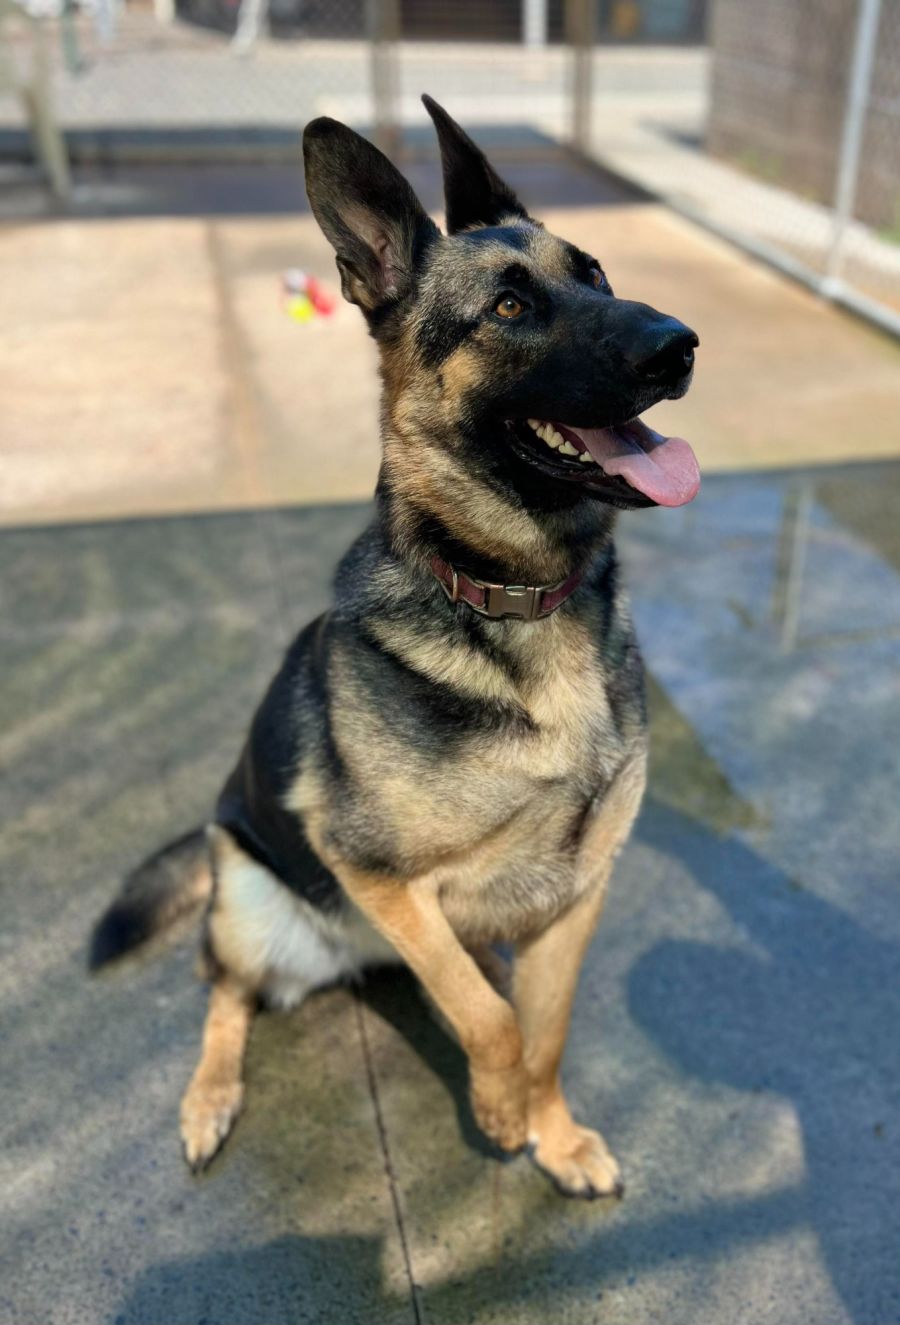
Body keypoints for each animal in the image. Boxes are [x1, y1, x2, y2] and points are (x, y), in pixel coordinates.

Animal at [90, 95, 700, 1199]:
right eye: (509, 307)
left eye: (595, 273)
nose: (681, 345)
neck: (517, 600)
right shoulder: (374, 871)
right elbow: (487, 1017)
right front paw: (501, 1110)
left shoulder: (577, 892)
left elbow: (542, 1027)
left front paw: (552, 1131)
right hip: (249, 900)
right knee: (225, 995)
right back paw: (208, 1098)